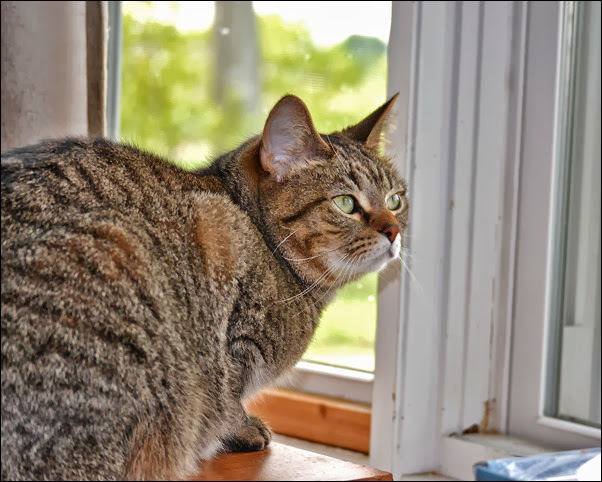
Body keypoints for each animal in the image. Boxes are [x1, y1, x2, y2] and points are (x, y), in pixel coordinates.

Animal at [1, 93, 408, 478]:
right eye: (346, 203)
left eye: (395, 200)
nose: (393, 230)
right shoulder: (224, 276)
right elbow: (227, 395)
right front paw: (241, 429)